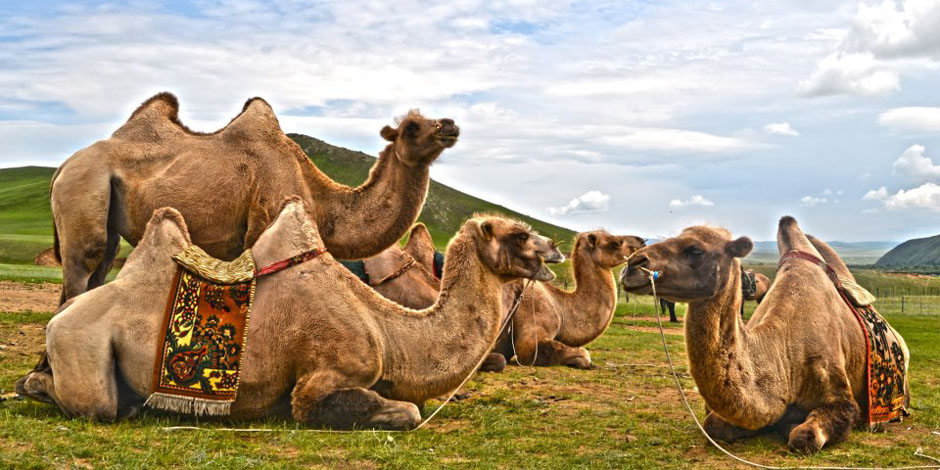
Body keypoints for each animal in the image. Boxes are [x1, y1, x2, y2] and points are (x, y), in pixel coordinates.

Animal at [16, 200, 564, 428]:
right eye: (518, 234)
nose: (555, 248)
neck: (388, 332)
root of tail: (57, 321)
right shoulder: (322, 377)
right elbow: (405, 412)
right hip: (83, 352)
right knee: (92, 402)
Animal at [49, 92, 458, 304]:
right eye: (411, 127)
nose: (450, 125)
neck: (320, 200)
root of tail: (64, 164)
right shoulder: (265, 226)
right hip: (84, 185)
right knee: (83, 264)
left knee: (100, 266)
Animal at [620, 217, 908, 452]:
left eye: (696, 250)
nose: (633, 264)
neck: (784, 354)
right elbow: (713, 424)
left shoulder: (840, 397)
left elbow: (804, 436)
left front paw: (790, 426)